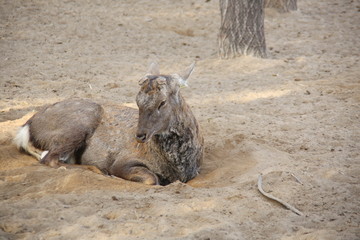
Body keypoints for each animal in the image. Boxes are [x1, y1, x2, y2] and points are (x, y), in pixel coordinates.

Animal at [14, 62, 204, 186]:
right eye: (137, 101)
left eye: (162, 102)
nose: (140, 135)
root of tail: (26, 127)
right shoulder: (122, 162)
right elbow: (151, 179)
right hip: (77, 126)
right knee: (49, 159)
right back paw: (100, 171)